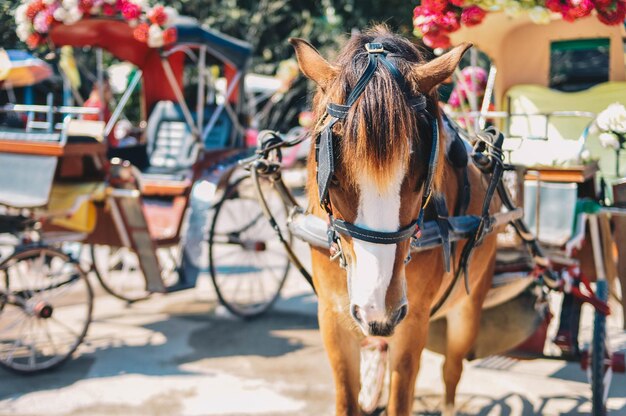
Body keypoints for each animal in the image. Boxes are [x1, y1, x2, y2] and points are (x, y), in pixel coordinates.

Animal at [288, 26, 498, 416]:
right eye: (333, 177)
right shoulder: (333, 319)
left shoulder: (411, 322)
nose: (377, 309)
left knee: (452, 370)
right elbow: (347, 397)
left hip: (468, 304)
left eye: (419, 177)